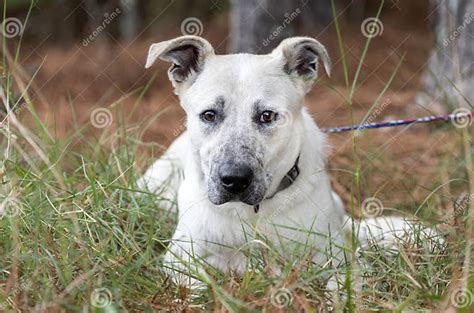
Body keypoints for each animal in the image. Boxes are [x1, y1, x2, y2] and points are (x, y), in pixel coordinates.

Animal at [137, 35, 436, 286]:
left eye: (267, 116)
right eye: (209, 115)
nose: (234, 180)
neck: (254, 214)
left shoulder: (341, 259)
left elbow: (341, 286)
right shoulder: (179, 258)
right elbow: (199, 284)